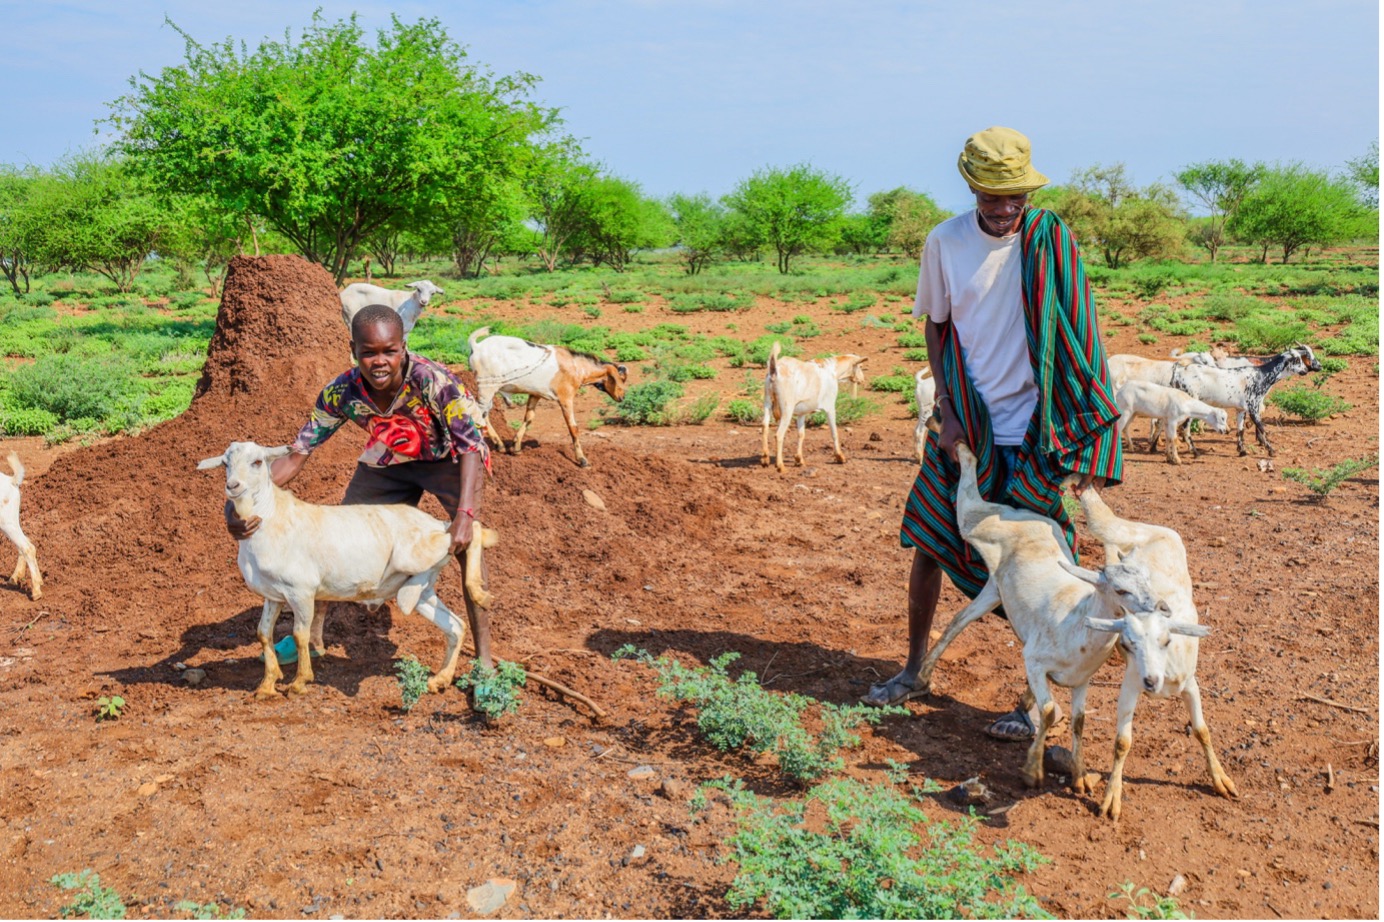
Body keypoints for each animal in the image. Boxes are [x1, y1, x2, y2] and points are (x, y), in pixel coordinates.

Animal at [0, 451, 40, 595]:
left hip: (6, 521)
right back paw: (14, 578)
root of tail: (12, 481)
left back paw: (36, 591)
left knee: (27, 547)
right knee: (25, 542)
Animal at [470, 326, 633, 467]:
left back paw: (499, 445)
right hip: (487, 388)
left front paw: (516, 446)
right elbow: (573, 428)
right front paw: (582, 460)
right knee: (479, 413)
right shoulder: (566, 399)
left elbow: (529, 418)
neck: (576, 366)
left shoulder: (535, 394)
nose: (622, 396)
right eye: (621, 379)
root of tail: (476, 346)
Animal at [758, 340, 852, 470]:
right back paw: (780, 466)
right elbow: (834, 432)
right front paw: (840, 457)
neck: (831, 371)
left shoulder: (801, 413)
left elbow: (801, 434)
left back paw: (765, 459)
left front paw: (799, 460)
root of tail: (774, 371)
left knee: (765, 425)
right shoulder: (830, 407)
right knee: (779, 434)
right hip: (787, 408)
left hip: (767, 401)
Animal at [913, 445, 1240, 819]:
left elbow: (1081, 721)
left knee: (958, 620)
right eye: (1121, 590)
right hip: (981, 524)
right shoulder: (1034, 659)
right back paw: (964, 450)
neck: (1079, 622)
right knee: (969, 502)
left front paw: (1080, 777)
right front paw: (1033, 771)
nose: (1161, 605)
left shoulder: (1085, 679)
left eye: (1146, 579)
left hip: (997, 586)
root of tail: (1024, 514)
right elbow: (1052, 714)